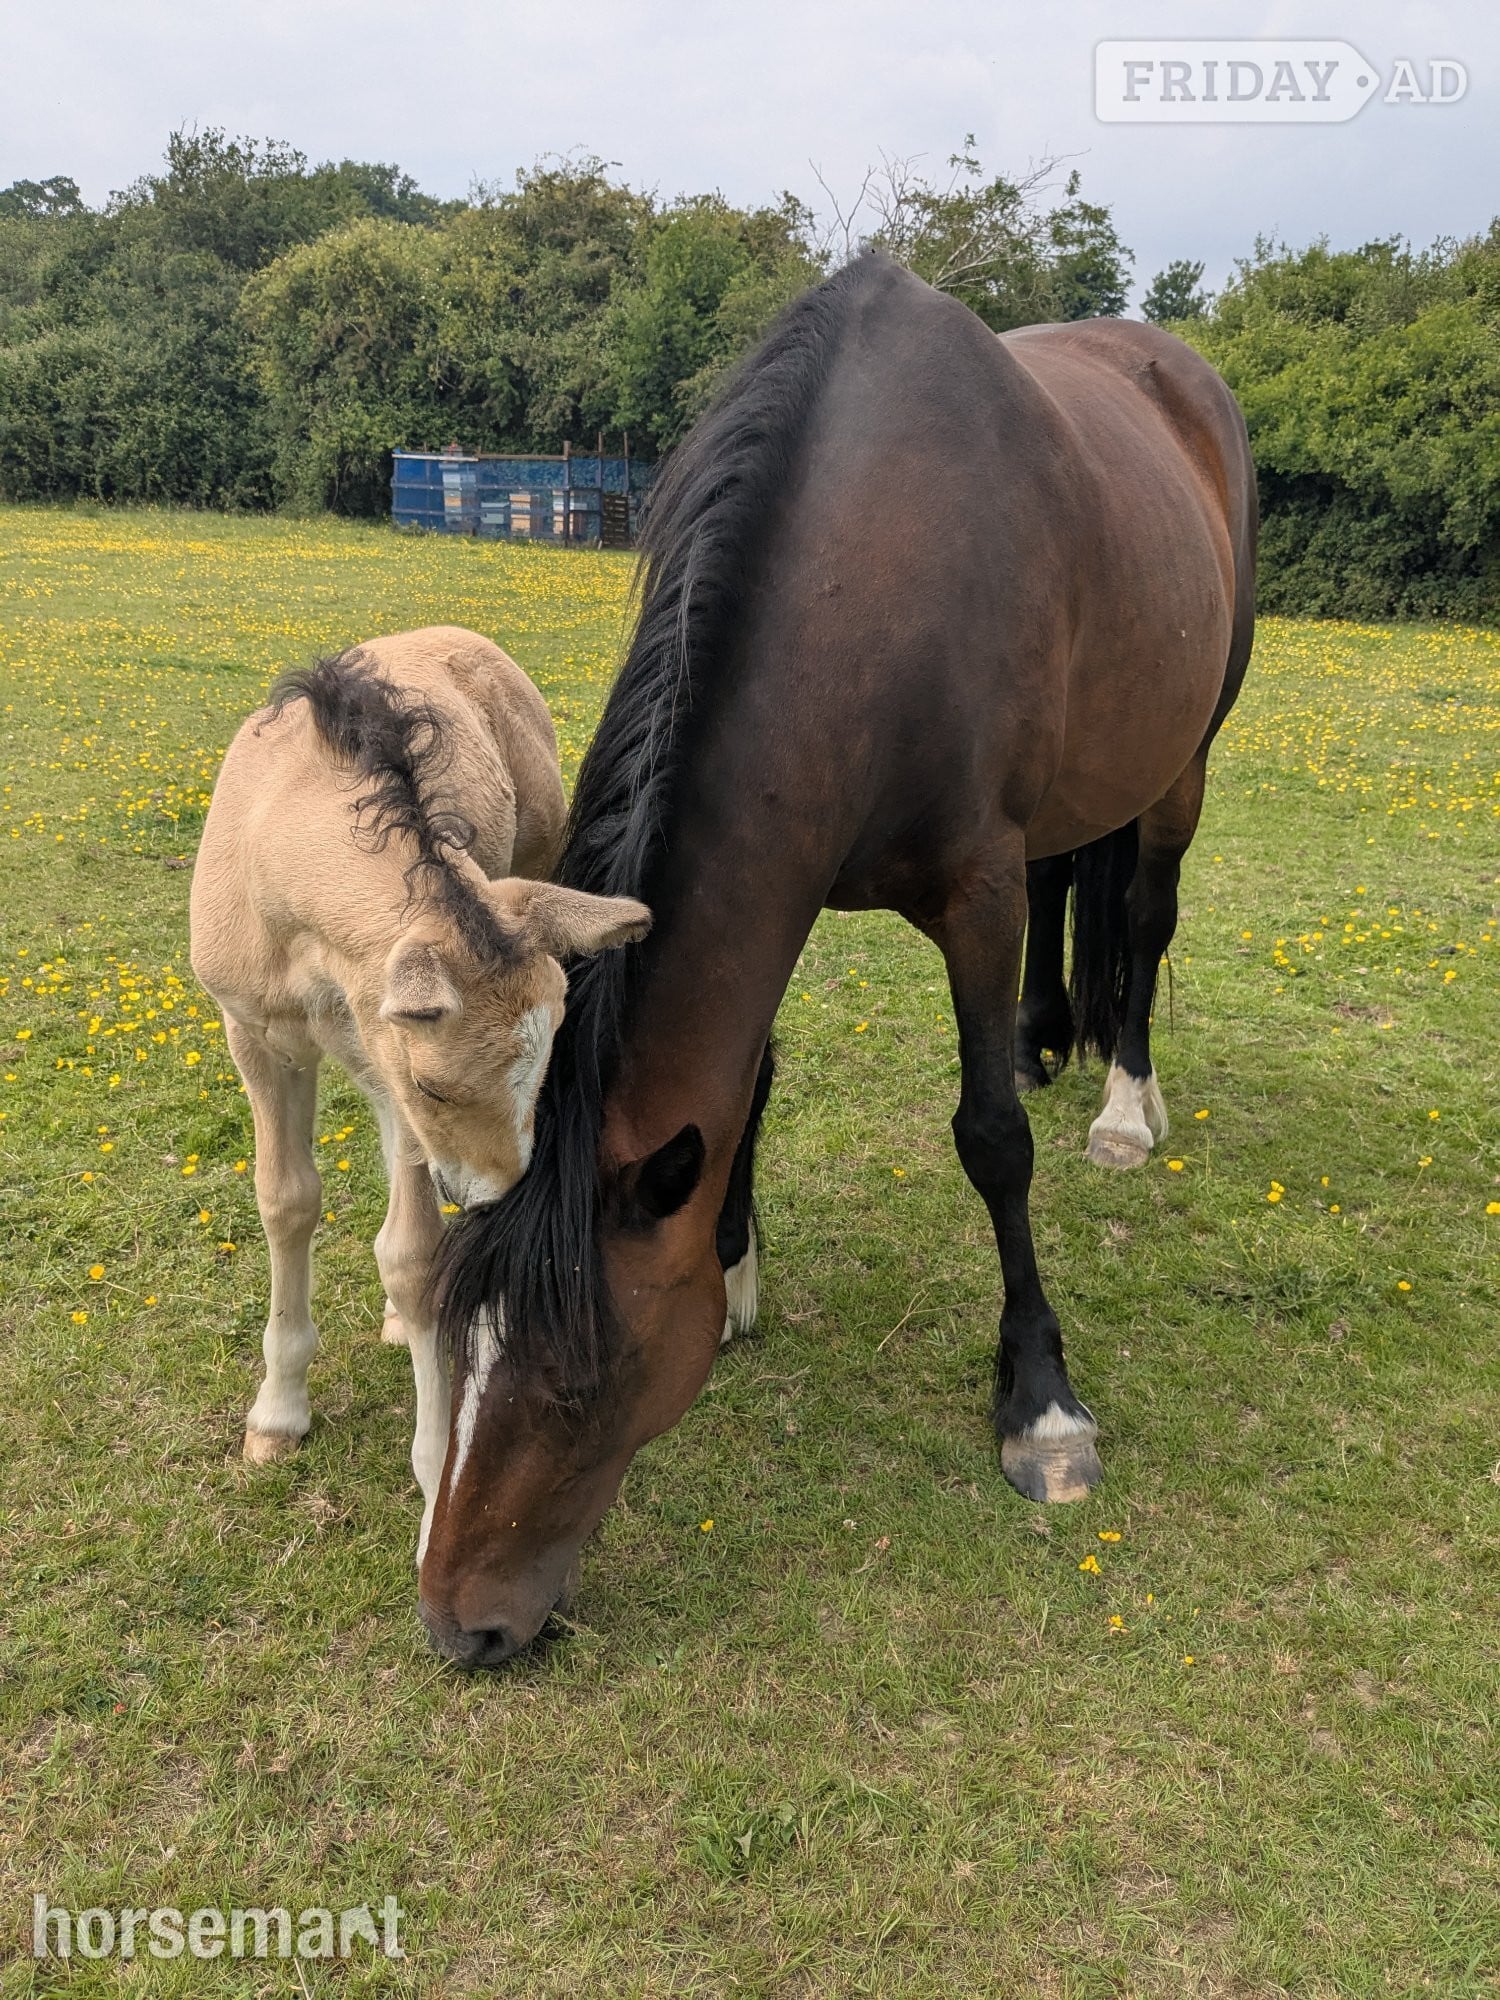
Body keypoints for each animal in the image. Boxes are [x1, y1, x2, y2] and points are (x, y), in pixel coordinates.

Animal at [189, 627, 649, 1560]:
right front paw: (277, 1415)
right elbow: (285, 1200)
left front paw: (439, 1481)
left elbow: (411, 1253)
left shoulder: (384, 1060)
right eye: (439, 1086)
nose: (496, 1196)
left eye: (546, 1067)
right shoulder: (259, 1035)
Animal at [420, 256, 1257, 1666]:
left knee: (1143, 917)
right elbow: (749, 1077)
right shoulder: (797, 876)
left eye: (583, 1379)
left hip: (1185, 755)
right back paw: (1044, 1037)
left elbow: (990, 1143)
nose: (456, 1623)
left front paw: (1041, 1401)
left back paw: (1125, 1106)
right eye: (454, 1340)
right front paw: (737, 1266)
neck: (866, 577)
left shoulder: (975, 892)